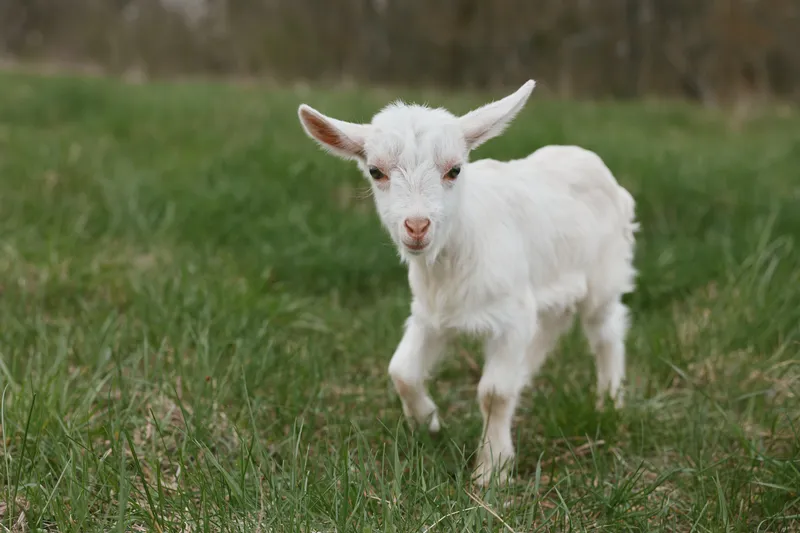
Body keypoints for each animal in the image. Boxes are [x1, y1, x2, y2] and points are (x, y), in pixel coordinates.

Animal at [297, 80, 638, 486]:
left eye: (455, 170)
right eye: (376, 171)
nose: (417, 226)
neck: (453, 256)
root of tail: (588, 159)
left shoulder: (511, 316)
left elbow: (494, 393)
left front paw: (492, 470)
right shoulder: (430, 315)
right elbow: (401, 371)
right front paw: (428, 423)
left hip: (604, 274)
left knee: (606, 331)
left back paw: (610, 402)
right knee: (550, 329)